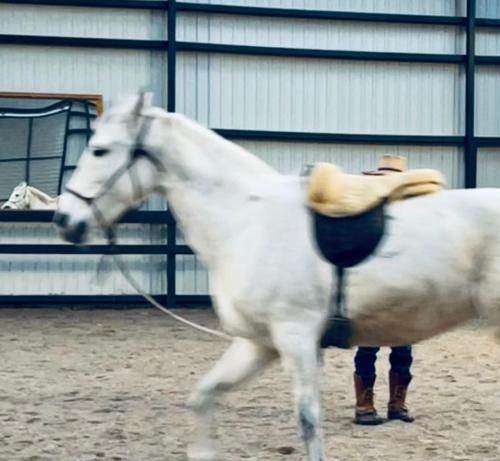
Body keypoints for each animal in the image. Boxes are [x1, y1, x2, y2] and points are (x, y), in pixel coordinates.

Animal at [52, 94, 500, 460]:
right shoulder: (259, 343)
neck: (245, 219)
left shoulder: (296, 337)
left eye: (100, 150)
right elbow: (203, 398)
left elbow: (308, 421)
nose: (64, 220)